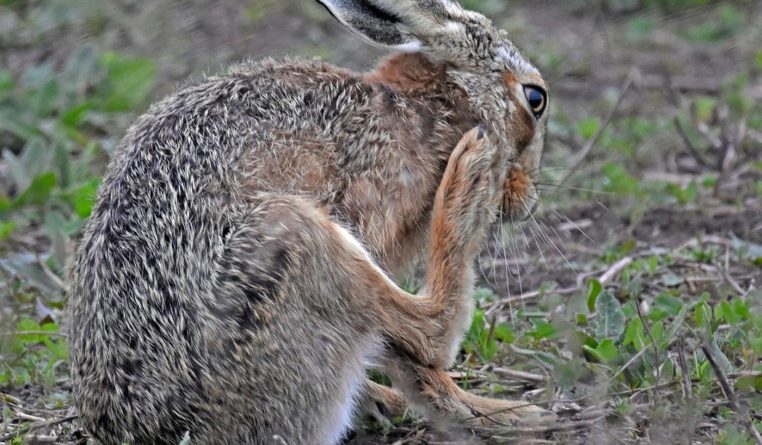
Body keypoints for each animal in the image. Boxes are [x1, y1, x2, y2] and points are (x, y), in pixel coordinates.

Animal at [67, 0, 552, 444]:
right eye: (535, 99)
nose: (526, 199)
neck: (422, 108)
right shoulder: (366, 212)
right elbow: (414, 354)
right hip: (292, 234)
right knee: (432, 325)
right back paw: (472, 175)